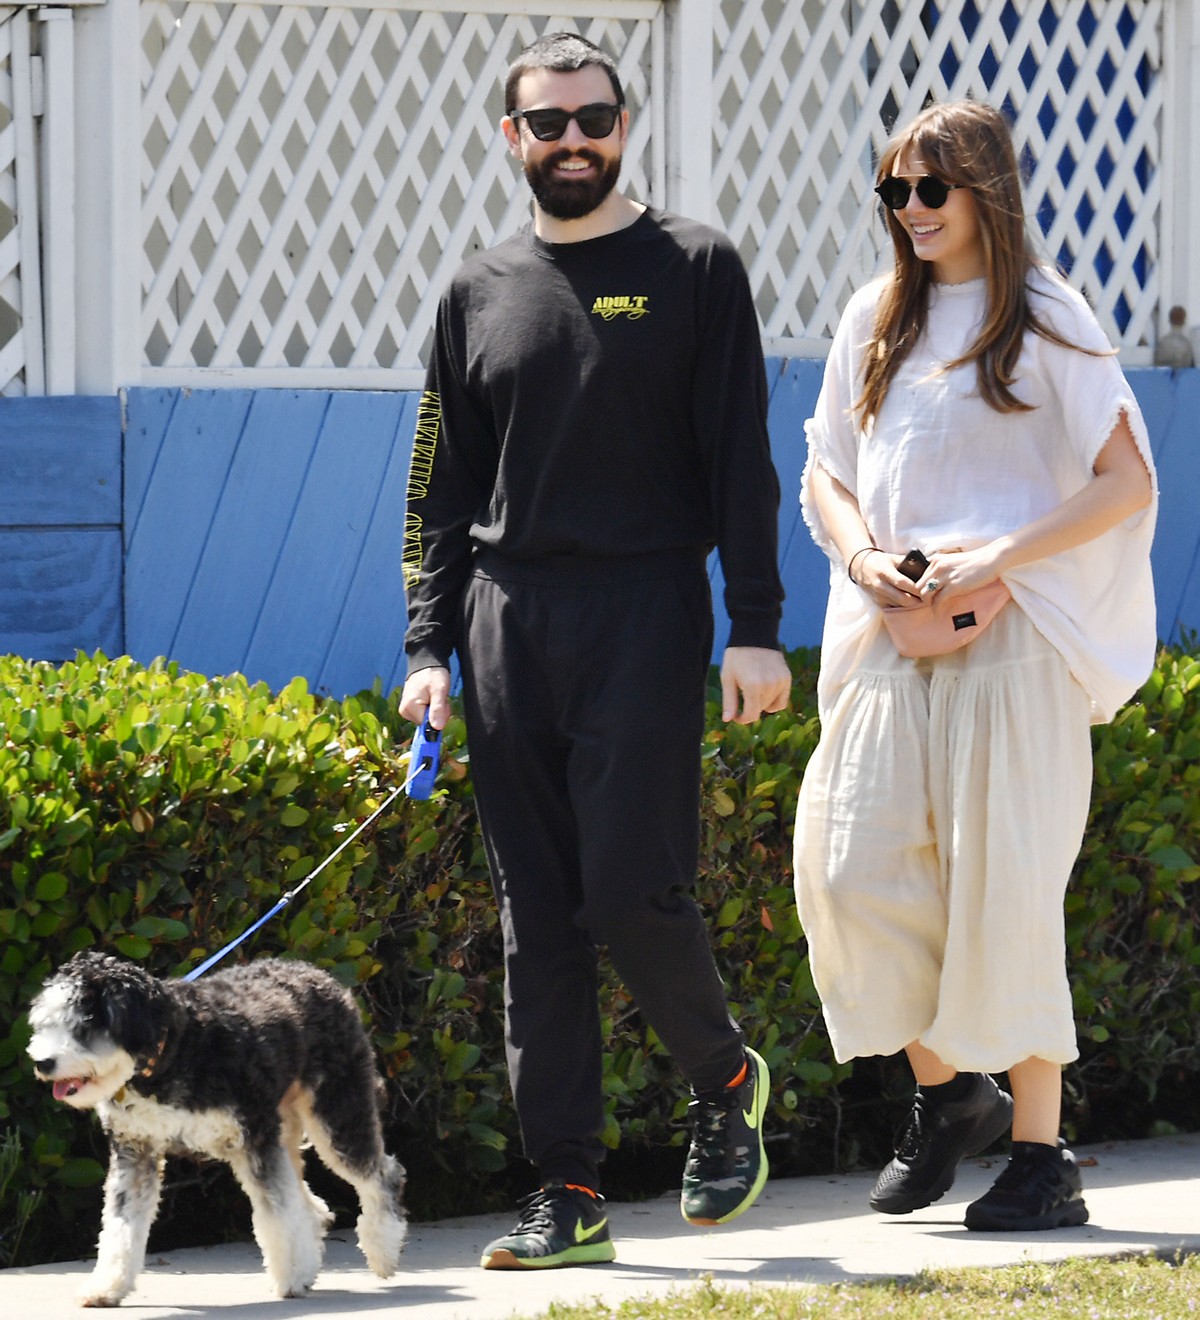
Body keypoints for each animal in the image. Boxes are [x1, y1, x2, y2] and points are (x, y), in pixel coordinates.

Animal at [26, 950, 406, 1309]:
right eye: (45, 1024)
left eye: (83, 1024)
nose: (42, 1063)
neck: (171, 1051)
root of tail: (316, 973)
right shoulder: (135, 1150)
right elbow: (120, 1225)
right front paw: (106, 1287)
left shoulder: (254, 1139)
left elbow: (278, 1213)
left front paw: (292, 1277)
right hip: (285, 1126)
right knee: (310, 1205)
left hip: (336, 1111)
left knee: (381, 1175)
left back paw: (382, 1252)